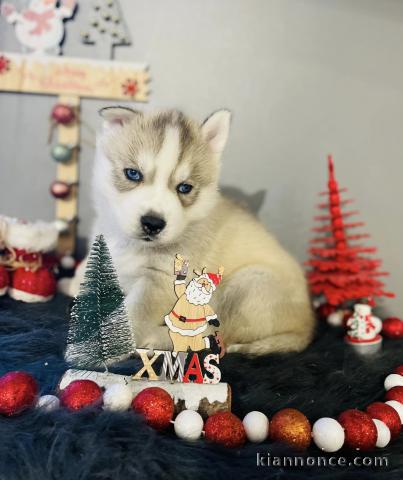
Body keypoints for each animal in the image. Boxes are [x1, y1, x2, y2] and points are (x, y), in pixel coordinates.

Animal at [63, 109, 316, 356]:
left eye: (185, 188)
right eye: (133, 174)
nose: (153, 223)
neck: (133, 245)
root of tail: (307, 326)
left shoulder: (158, 281)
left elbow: (131, 314)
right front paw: (74, 284)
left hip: (247, 284)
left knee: (218, 337)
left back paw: (157, 341)